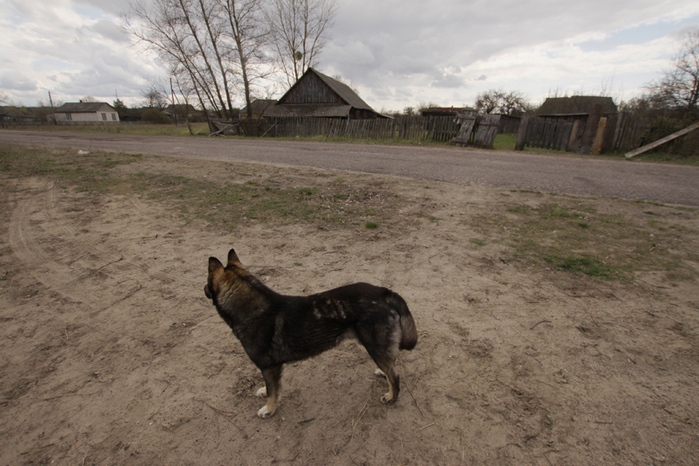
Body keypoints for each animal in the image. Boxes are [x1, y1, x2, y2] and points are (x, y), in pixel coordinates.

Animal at [205, 249, 418, 416]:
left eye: (207, 281)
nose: (204, 288)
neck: (253, 309)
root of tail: (385, 292)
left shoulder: (269, 367)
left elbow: (274, 392)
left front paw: (269, 409)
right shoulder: (270, 368)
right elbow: (271, 387)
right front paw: (265, 392)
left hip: (375, 347)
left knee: (395, 376)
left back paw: (391, 396)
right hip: (378, 348)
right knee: (391, 364)